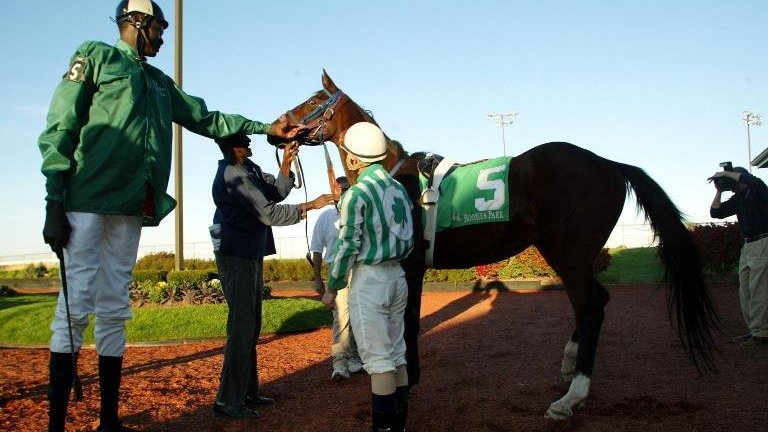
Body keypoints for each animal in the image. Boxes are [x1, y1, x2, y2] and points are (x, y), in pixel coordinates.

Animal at [268, 70, 716, 418]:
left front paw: (406, 385)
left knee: (590, 306)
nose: (276, 130)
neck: (392, 173)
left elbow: (408, 326)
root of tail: (610, 164)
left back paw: (571, 397)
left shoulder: (409, 267)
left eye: (313, 100)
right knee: (596, 300)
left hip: (570, 252)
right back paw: (569, 365)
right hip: (562, 251)